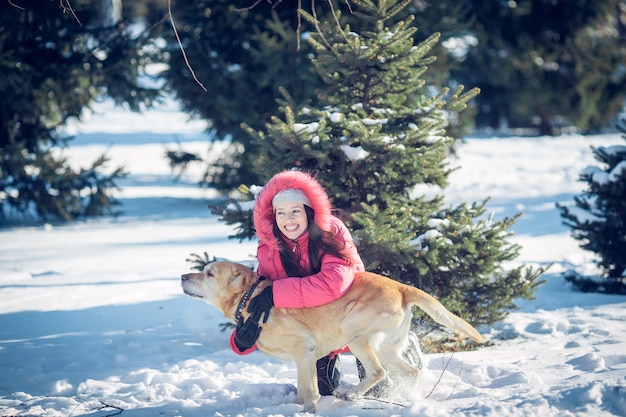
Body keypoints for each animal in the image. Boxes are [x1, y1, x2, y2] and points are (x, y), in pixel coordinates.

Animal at [180, 260, 482, 410]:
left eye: (208, 273)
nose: (182, 276)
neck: (251, 299)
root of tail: (401, 287)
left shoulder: (305, 350)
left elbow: (311, 392)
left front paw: (309, 410)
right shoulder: (301, 359)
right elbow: (302, 389)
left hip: (355, 333)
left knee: (377, 372)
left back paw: (352, 395)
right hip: (387, 347)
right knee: (411, 371)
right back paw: (411, 398)